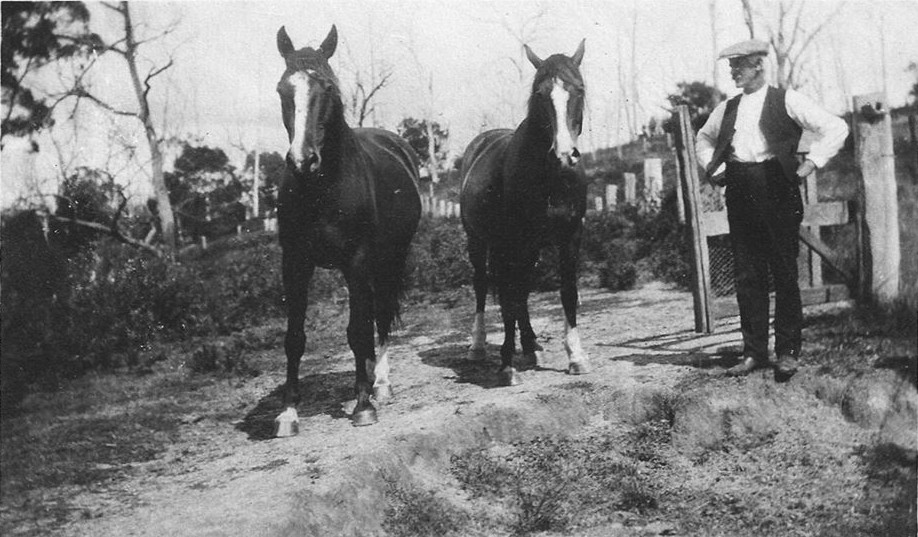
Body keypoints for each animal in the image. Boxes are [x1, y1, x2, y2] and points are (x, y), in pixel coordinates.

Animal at [273, 25, 421, 433]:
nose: (302, 161)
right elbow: (294, 337)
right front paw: (288, 413)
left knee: (381, 314)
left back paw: (380, 385)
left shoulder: (357, 260)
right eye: (282, 90)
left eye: (327, 88)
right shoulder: (295, 262)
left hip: (389, 259)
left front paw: (363, 405)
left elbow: (357, 330)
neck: (321, 189)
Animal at [459, 40, 590, 386]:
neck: (550, 179)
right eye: (540, 94)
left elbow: (566, 292)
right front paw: (507, 365)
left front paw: (576, 357)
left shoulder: (570, 237)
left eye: (579, 90)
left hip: (528, 249)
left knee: (522, 290)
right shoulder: (510, 244)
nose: (565, 154)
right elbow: (508, 299)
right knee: (483, 286)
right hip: (479, 241)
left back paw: (531, 346)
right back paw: (478, 347)